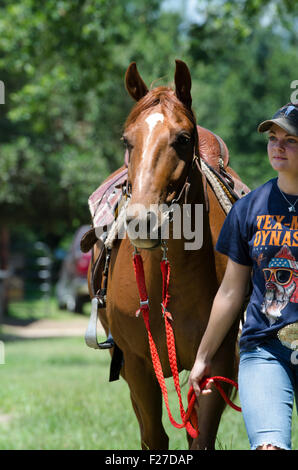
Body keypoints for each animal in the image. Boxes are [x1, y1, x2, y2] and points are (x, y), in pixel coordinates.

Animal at [88, 60, 244, 450]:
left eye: (183, 139)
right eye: (127, 141)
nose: (141, 220)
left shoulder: (216, 366)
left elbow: (200, 439)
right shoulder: (138, 366)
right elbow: (154, 437)